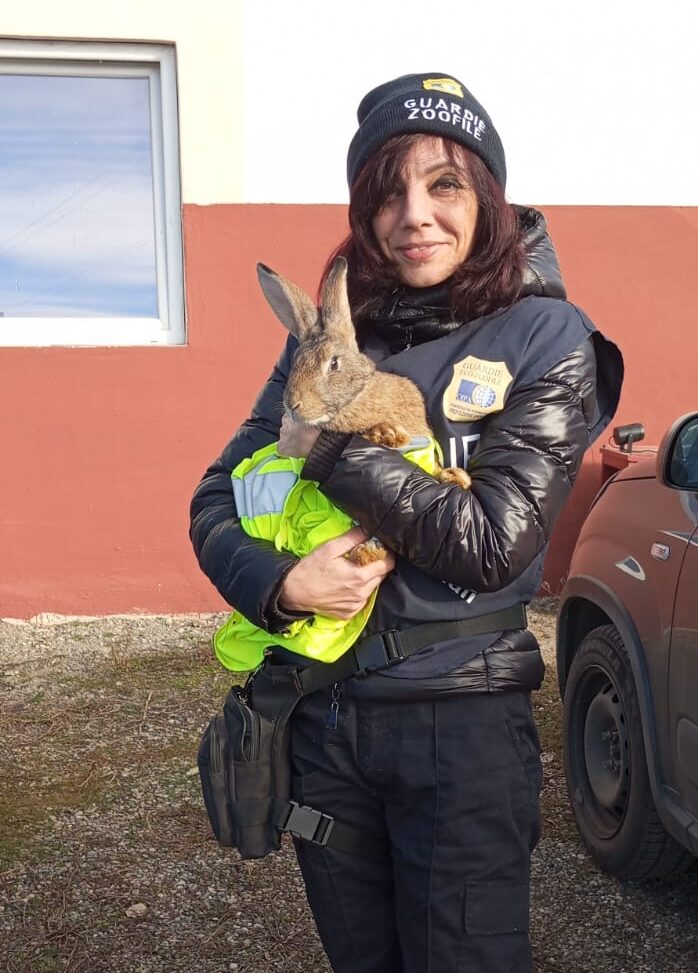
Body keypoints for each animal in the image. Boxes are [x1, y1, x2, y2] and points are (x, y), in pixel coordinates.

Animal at [256, 254, 468, 564]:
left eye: (333, 363)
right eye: (295, 362)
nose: (293, 404)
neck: (356, 398)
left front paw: (455, 477)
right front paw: (387, 435)